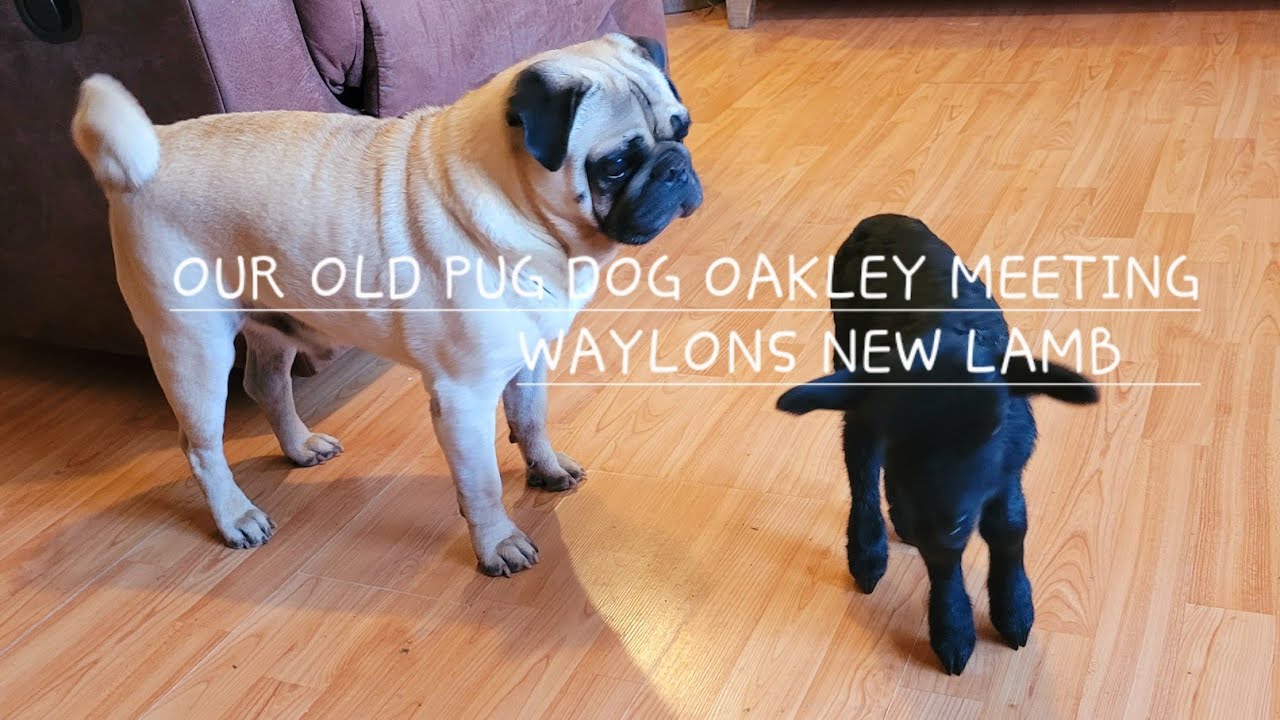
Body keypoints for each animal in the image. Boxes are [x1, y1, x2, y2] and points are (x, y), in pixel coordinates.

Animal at [776, 214, 1098, 675]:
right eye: (901, 431)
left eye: (995, 426)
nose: (948, 523)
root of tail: (880, 217)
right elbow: (943, 561)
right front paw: (954, 633)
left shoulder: (1007, 467)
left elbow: (1010, 527)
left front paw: (1014, 609)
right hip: (849, 365)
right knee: (861, 466)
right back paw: (869, 551)